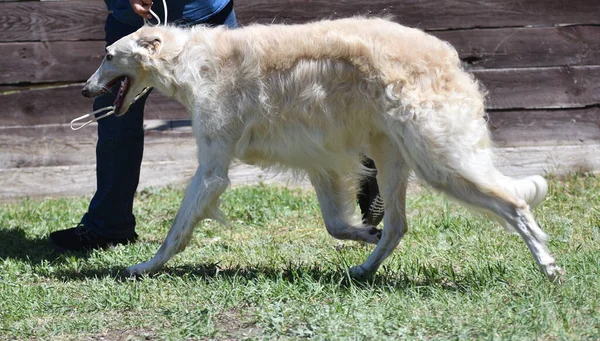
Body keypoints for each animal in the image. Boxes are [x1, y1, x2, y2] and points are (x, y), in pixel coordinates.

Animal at [81, 17, 564, 280]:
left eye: (107, 54)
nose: (85, 91)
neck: (190, 61)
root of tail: (447, 55)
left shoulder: (213, 169)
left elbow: (177, 230)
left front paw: (144, 267)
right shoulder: (321, 163)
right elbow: (337, 225)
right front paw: (362, 233)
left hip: (438, 160)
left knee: (515, 204)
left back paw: (549, 266)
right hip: (391, 157)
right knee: (397, 226)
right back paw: (365, 267)